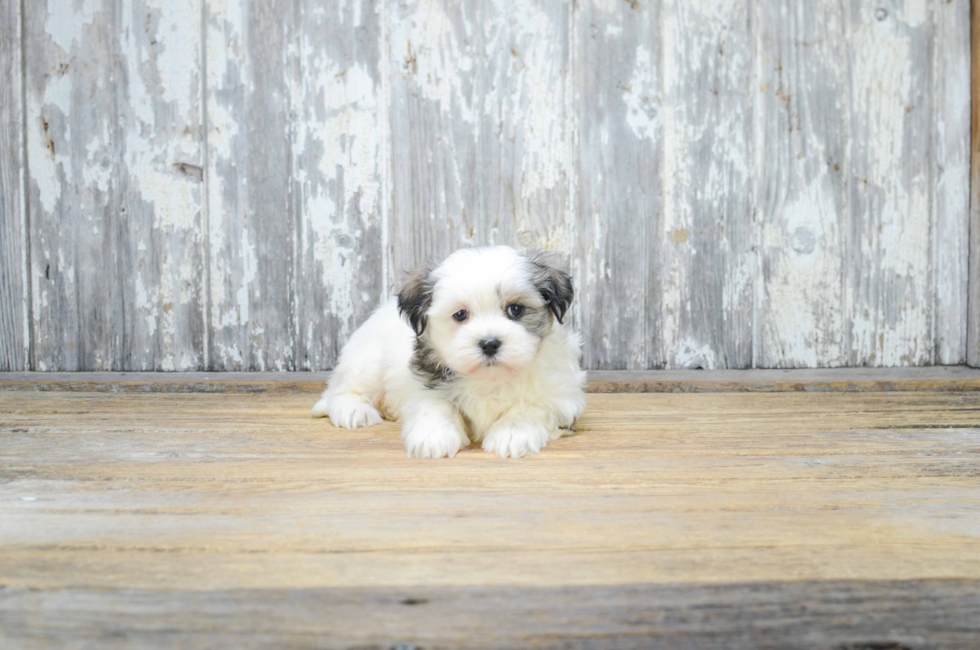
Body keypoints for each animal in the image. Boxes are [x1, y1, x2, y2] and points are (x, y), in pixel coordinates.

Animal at [314, 246, 584, 458]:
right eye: (461, 315)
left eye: (515, 309)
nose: (489, 343)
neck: (489, 378)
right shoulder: (424, 383)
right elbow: (436, 406)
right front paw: (434, 437)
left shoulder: (560, 395)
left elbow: (530, 407)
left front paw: (511, 433)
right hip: (368, 360)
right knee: (342, 389)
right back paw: (353, 410)